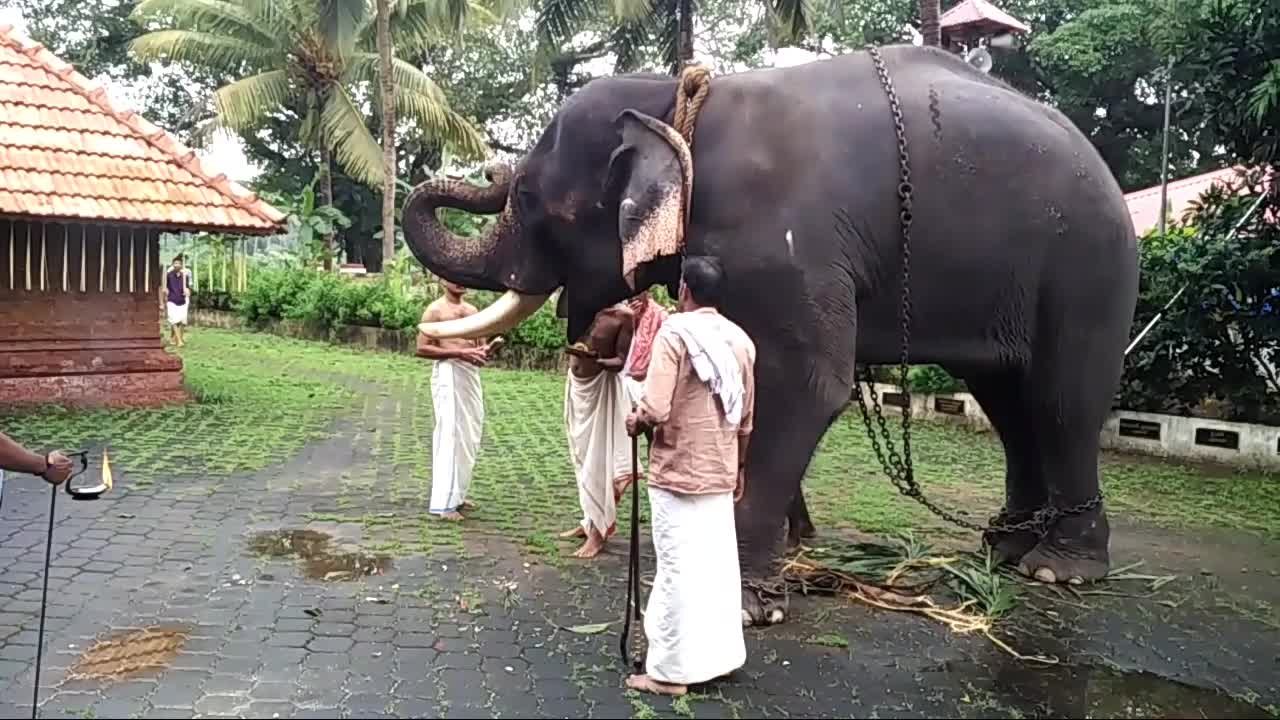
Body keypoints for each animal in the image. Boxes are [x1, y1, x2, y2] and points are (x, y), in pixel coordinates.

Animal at [404, 41, 1136, 622]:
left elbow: (804, 385)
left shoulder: (790, 252)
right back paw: (1004, 547)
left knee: (1061, 399)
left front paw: (744, 605)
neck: (675, 101)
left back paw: (1057, 568)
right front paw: (787, 546)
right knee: (1007, 399)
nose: (491, 170)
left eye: (529, 199)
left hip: (1089, 264)